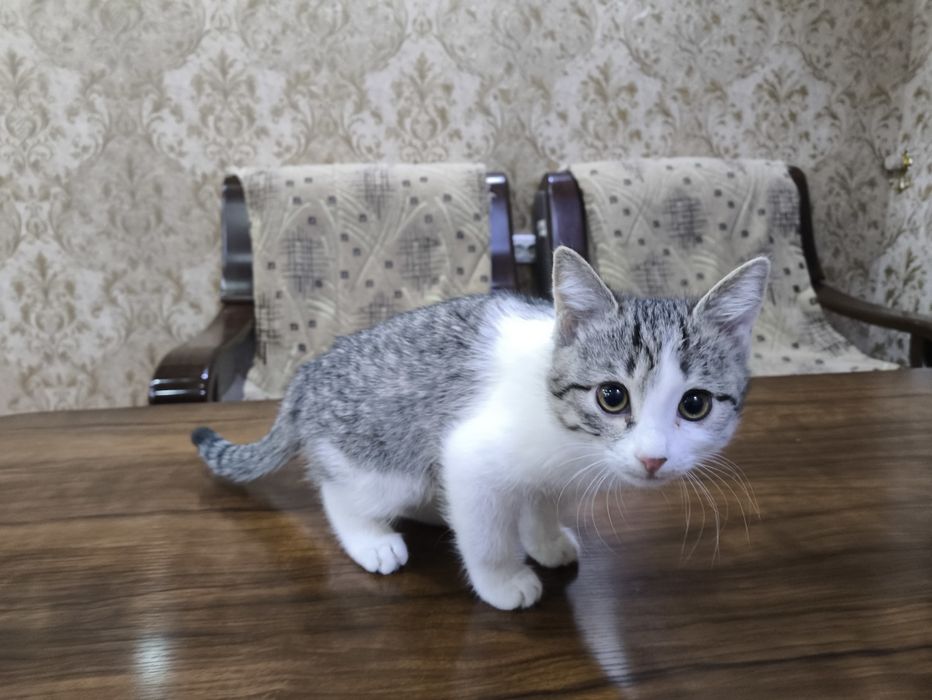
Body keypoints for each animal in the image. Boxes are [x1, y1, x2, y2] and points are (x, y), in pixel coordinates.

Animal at [193, 247, 769, 610]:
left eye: (694, 404)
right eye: (612, 397)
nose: (653, 459)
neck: (566, 434)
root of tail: (309, 374)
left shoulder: (546, 474)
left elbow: (539, 502)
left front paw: (545, 540)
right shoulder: (471, 457)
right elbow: (487, 533)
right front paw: (503, 581)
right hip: (384, 458)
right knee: (342, 492)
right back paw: (370, 539)